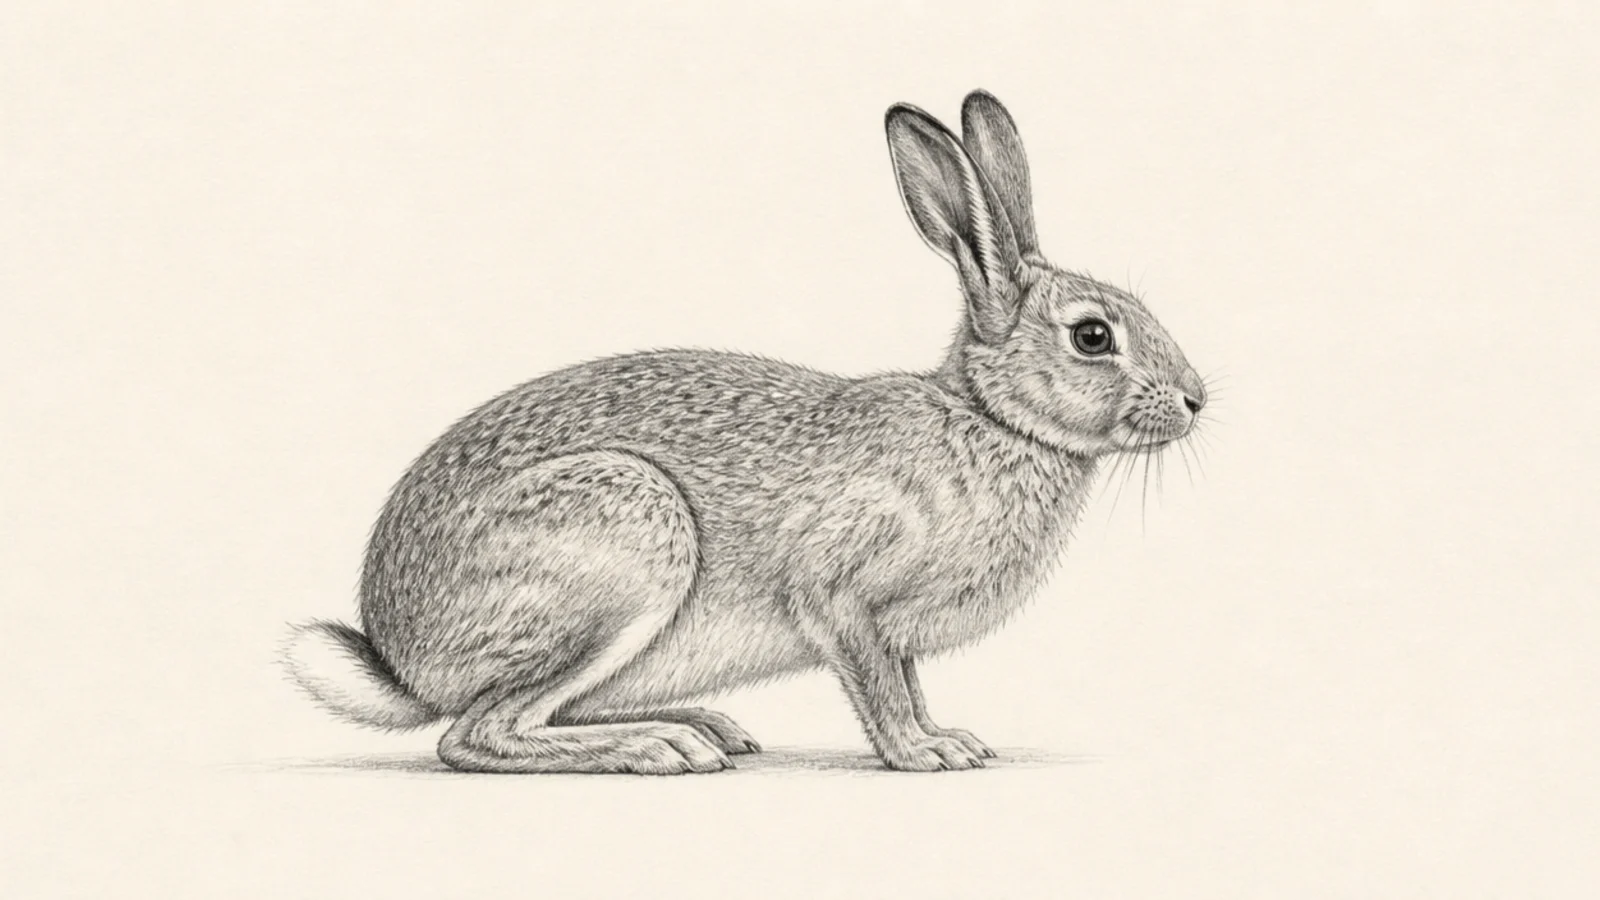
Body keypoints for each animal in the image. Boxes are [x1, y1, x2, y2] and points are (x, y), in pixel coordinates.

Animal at [283, 90, 1208, 774]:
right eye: (1094, 336)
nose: (1196, 400)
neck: (989, 418)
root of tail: (402, 657)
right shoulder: (841, 592)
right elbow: (878, 687)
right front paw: (924, 754)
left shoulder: (893, 630)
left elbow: (906, 682)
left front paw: (949, 737)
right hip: (622, 540)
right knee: (475, 735)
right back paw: (659, 747)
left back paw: (707, 726)